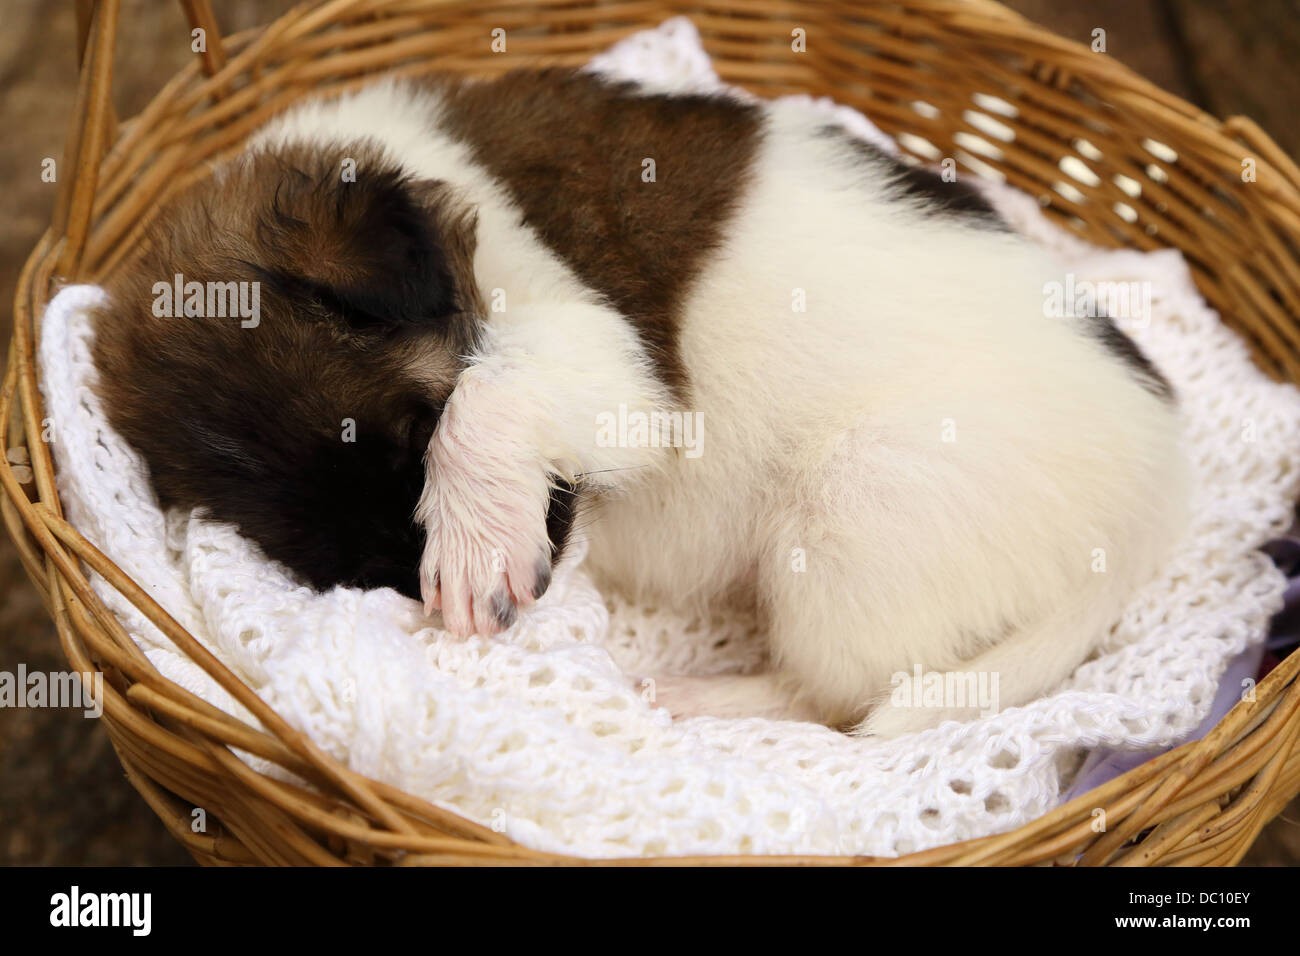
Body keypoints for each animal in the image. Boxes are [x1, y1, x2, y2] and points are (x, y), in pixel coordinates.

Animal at [91, 70, 1190, 738]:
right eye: (332, 558)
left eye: (417, 437)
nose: (404, 576)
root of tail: (1155, 496)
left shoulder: (612, 364)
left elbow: (489, 392)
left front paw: (471, 544)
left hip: (856, 505)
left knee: (835, 697)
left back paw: (703, 695)